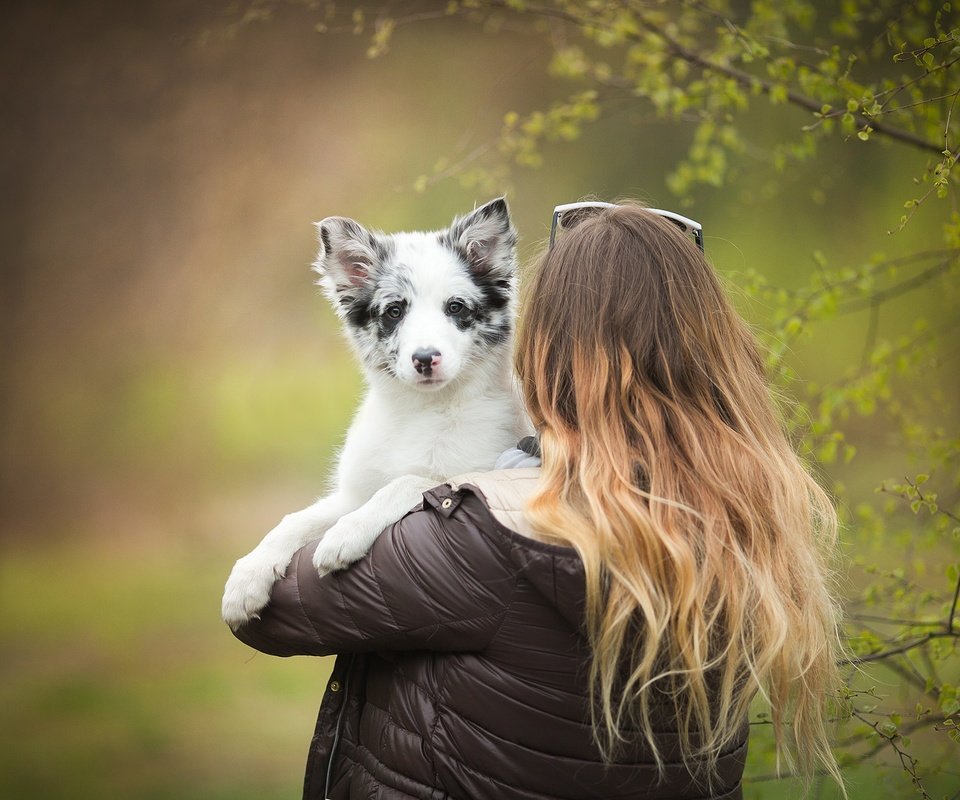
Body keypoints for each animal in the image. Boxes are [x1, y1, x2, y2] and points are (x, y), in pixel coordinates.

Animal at [222, 197, 528, 628]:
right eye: (395, 312)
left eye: (455, 307)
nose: (424, 359)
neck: (420, 411)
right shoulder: (353, 492)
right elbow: (295, 520)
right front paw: (247, 576)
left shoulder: (470, 475)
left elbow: (404, 483)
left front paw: (344, 535)